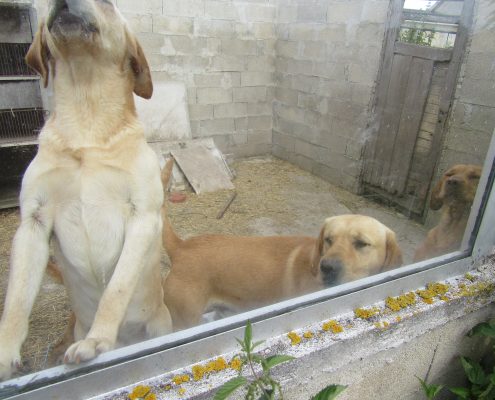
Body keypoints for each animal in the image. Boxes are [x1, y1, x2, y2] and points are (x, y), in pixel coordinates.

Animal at [0, 0, 172, 382]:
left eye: (106, 2)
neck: (86, 116)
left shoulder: (143, 218)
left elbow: (115, 290)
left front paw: (97, 340)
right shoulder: (32, 223)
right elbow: (16, 301)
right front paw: (5, 354)